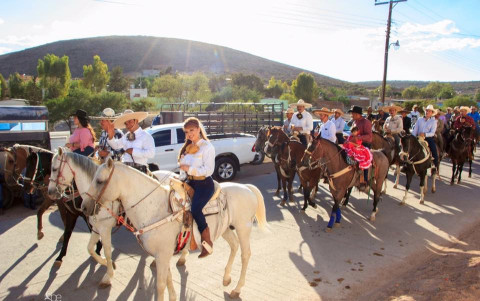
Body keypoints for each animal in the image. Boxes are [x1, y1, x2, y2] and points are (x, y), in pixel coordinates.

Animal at [83, 158, 270, 298]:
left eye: (99, 181)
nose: (84, 207)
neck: (154, 208)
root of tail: (247, 187)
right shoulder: (163, 254)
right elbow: (168, 279)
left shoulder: (162, 254)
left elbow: (160, 285)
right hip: (225, 229)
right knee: (234, 246)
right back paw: (226, 278)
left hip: (243, 227)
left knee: (245, 254)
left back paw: (237, 289)